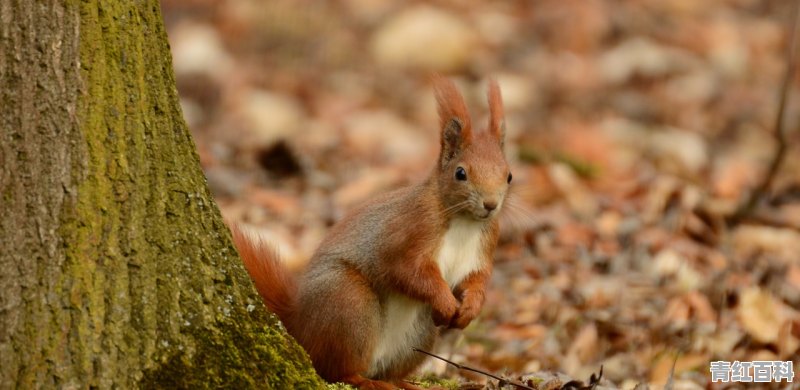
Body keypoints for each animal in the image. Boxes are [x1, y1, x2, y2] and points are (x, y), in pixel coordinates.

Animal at [231, 77, 510, 390]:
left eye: (509, 175)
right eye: (460, 173)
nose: (491, 204)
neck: (464, 222)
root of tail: (300, 326)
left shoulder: (484, 246)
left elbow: (476, 280)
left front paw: (470, 309)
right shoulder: (408, 232)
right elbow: (408, 272)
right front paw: (445, 301)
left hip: (418, 334)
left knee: (387, 370)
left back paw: (402, 382)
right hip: (349, 303)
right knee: (337, 370)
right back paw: (366, 380)